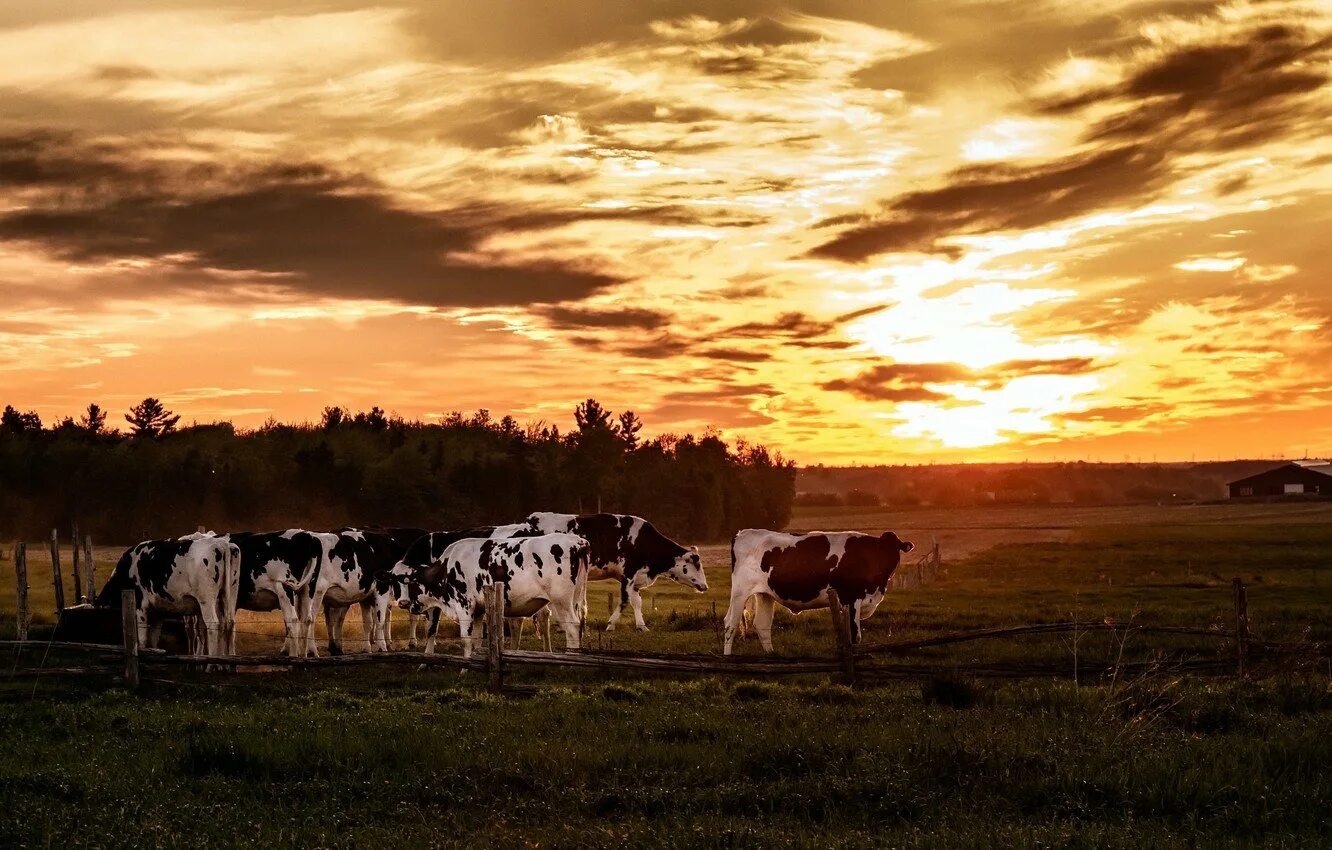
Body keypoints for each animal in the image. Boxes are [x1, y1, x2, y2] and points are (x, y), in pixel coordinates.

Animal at [95, 535, 241, 663]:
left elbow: (142, 638)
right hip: (230, 594)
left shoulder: (140, 606)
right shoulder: (158, 611)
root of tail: (222, 543)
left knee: (213, 624)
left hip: (206, 600)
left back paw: (212, 663)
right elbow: (154, 637)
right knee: (229, 623)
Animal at [391, 532, 586, 660]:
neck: (448, 567)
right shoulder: (478, 610)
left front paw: (465, 667)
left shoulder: (464, 606)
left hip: (561, 601)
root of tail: (578, 541)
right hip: (574, 599)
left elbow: (466, 640)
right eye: (395, 582)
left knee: (572, 628)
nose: (405, 604)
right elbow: (477, 641)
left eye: (410, 583)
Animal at [519, 511, 708, 634]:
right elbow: (625, 601)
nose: (705, 586)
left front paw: (641, 626)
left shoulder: (634, 580)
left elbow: (637, 602)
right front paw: (611, 624)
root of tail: (531, 519)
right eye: (697, 565)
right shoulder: (628, 575)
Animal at [719, 530, 916, 655]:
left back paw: (771, 656)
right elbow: (854, 636)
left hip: (765, 594)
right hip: (740, 592)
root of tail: (742, 533)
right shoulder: (851, 597)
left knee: (762, 624)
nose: (888, 567)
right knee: (730, 624)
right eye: (882, 550)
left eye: (897, 548)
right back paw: (728, 657)